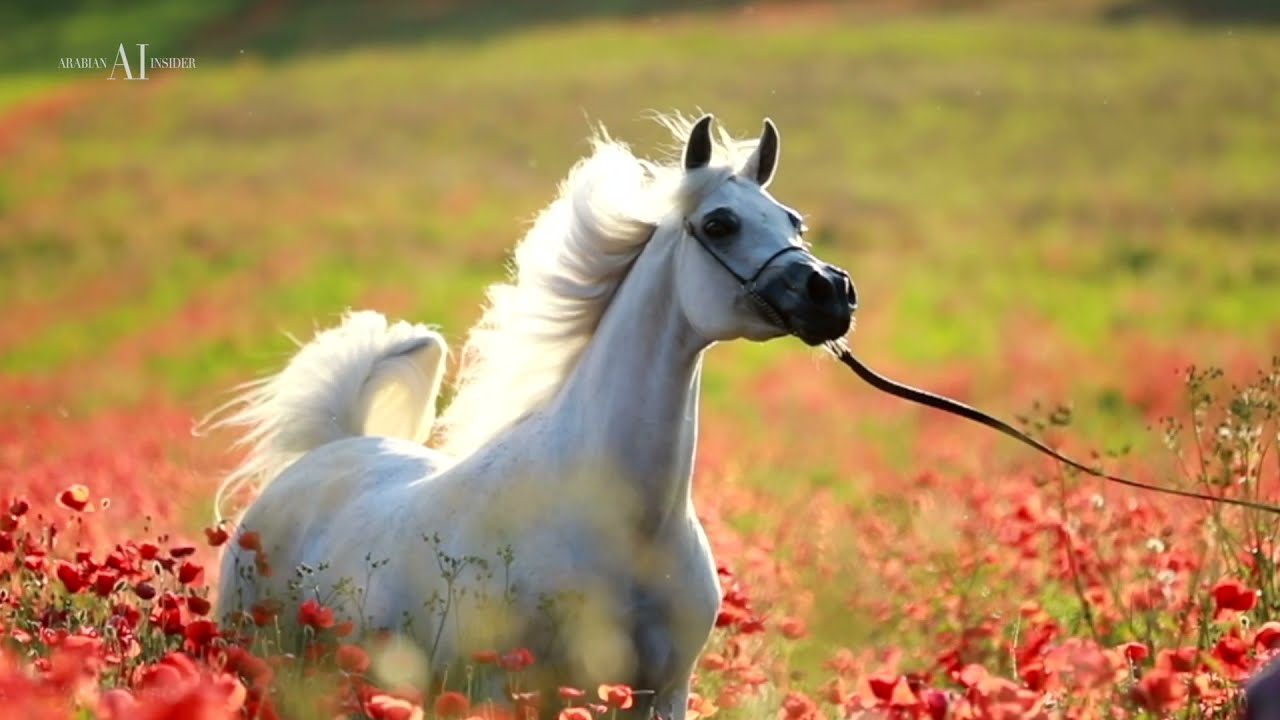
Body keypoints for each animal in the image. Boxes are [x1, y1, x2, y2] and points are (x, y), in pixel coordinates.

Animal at [211, 113, 856, 718]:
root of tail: (331, 449)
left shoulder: (661, 695)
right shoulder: (507, 689)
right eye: (721, 223)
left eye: (793, 221)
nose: (833, 293)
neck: (626, 526)